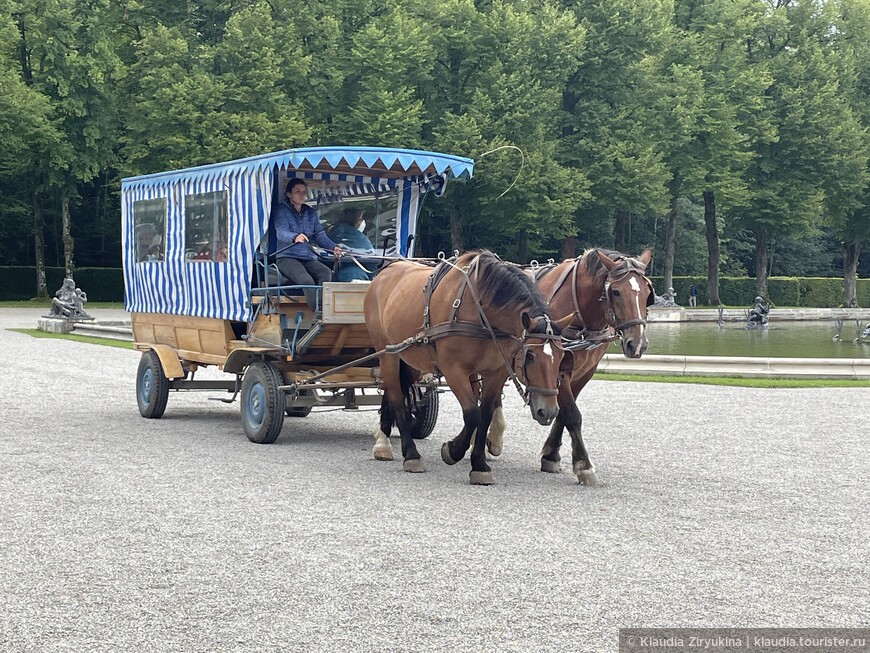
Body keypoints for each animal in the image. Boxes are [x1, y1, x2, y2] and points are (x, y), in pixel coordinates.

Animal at [364, 250, 568, 484]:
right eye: (531, 355)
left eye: (562, 356)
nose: (549, 411)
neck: (481, 311)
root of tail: (385, 271)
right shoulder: (453, 369)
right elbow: (472, 414)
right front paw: (453, 450)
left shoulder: (495, 372)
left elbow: (485, 414)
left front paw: (479, 464)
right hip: (387, 353)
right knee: (397, 399)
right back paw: (410, 454)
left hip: (406, 356)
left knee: (394, 392)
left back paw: (386, 440)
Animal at [524, 248, 656, 484]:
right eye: (616, 292)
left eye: (647, 292)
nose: (637, 344)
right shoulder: (558, 370)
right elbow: (572, 415)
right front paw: (584, 465)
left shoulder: (584, 371)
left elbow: (563, 413)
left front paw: (551, 455)